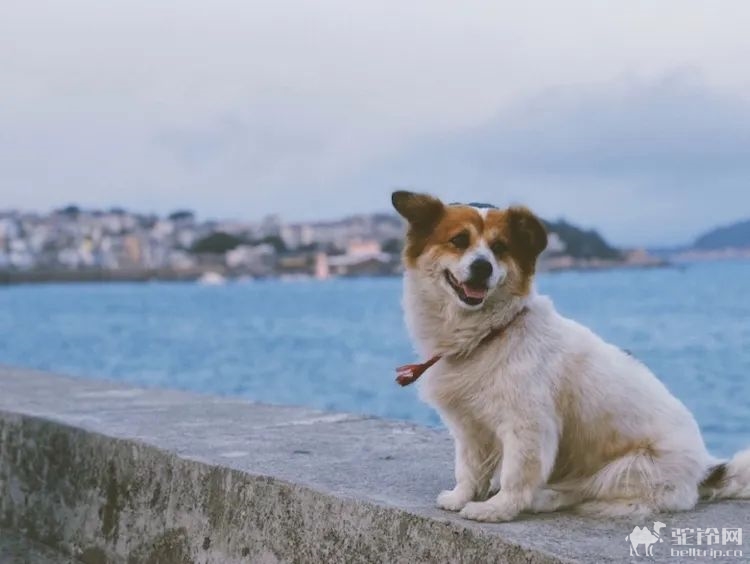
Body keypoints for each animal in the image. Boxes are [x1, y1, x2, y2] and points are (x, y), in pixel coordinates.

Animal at [394, 192, 750, 524]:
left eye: (500, 248)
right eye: (459, 240)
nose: (483, 266)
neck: (490, 334)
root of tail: (705, 471)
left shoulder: (528, 426)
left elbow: (516, 474)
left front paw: (498, 509)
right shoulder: (470, 426)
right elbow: (469, 467)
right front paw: (462, 496)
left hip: (629, 469)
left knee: (588, 491)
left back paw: (544, 498)